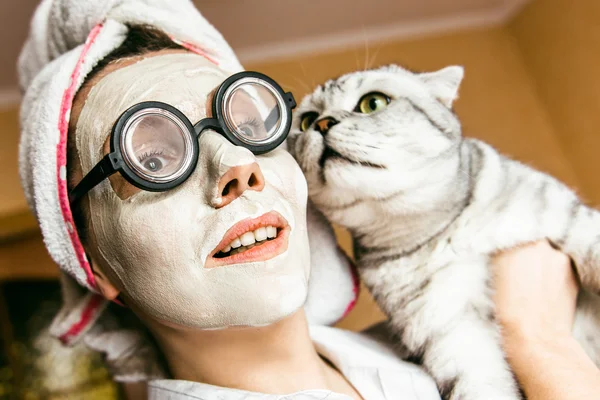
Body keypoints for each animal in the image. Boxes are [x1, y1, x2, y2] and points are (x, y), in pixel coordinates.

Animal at [286, 64, 600, 398]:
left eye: (373, 103)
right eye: (306, 120)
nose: (322, 122)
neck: (440, 232)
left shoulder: (572, 220)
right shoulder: (453, 333)